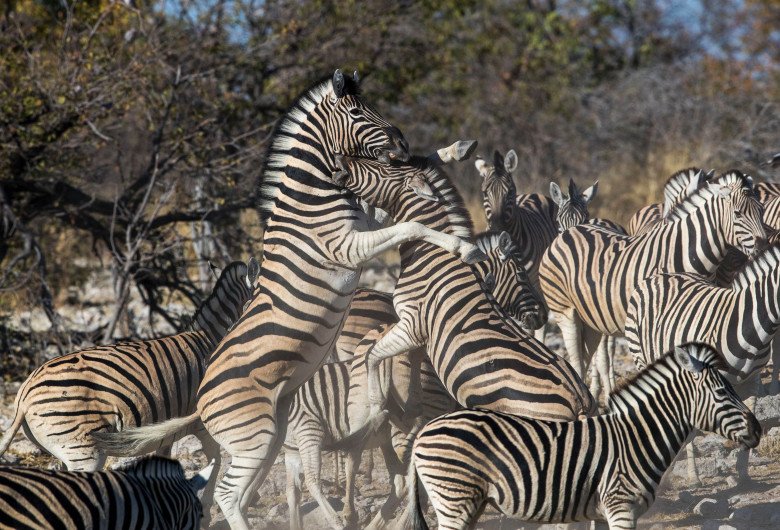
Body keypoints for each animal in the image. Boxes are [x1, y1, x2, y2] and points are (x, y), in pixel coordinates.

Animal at [90, 71, 482, 528]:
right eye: (356, 112)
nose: (401, 143)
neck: (312, 201)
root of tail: (200, 403)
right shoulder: (347, 246)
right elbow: (411, 227)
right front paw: (462, 247)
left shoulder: (364, 225)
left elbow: (399, 208)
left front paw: (454, 150)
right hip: (254, 438)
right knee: (226, 494)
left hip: (270, 436)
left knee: (239, 493)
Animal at [332, 151, 596, 426]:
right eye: (520, 273)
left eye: (380, 166)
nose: (339, 159)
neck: (432, 256)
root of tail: (580, 400)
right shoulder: (419, 336)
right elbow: (408, 365)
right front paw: (410, 409)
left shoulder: (412, 325)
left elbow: (372, 355)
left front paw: (376, 409)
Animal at [402, 342, 760, 528]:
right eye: (721, 392)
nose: (757, 429)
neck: (636, 439)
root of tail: (424, 431)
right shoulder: (620, 506)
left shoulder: (602, 512)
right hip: (454, 498)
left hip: (468, 502)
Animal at [540, 171, 764, 382]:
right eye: (738, 214)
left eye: (761, 210)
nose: (764, 244)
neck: (683, 251)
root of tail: (566, 234)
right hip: (565, 312)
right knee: (577, 362)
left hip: (591, 320)